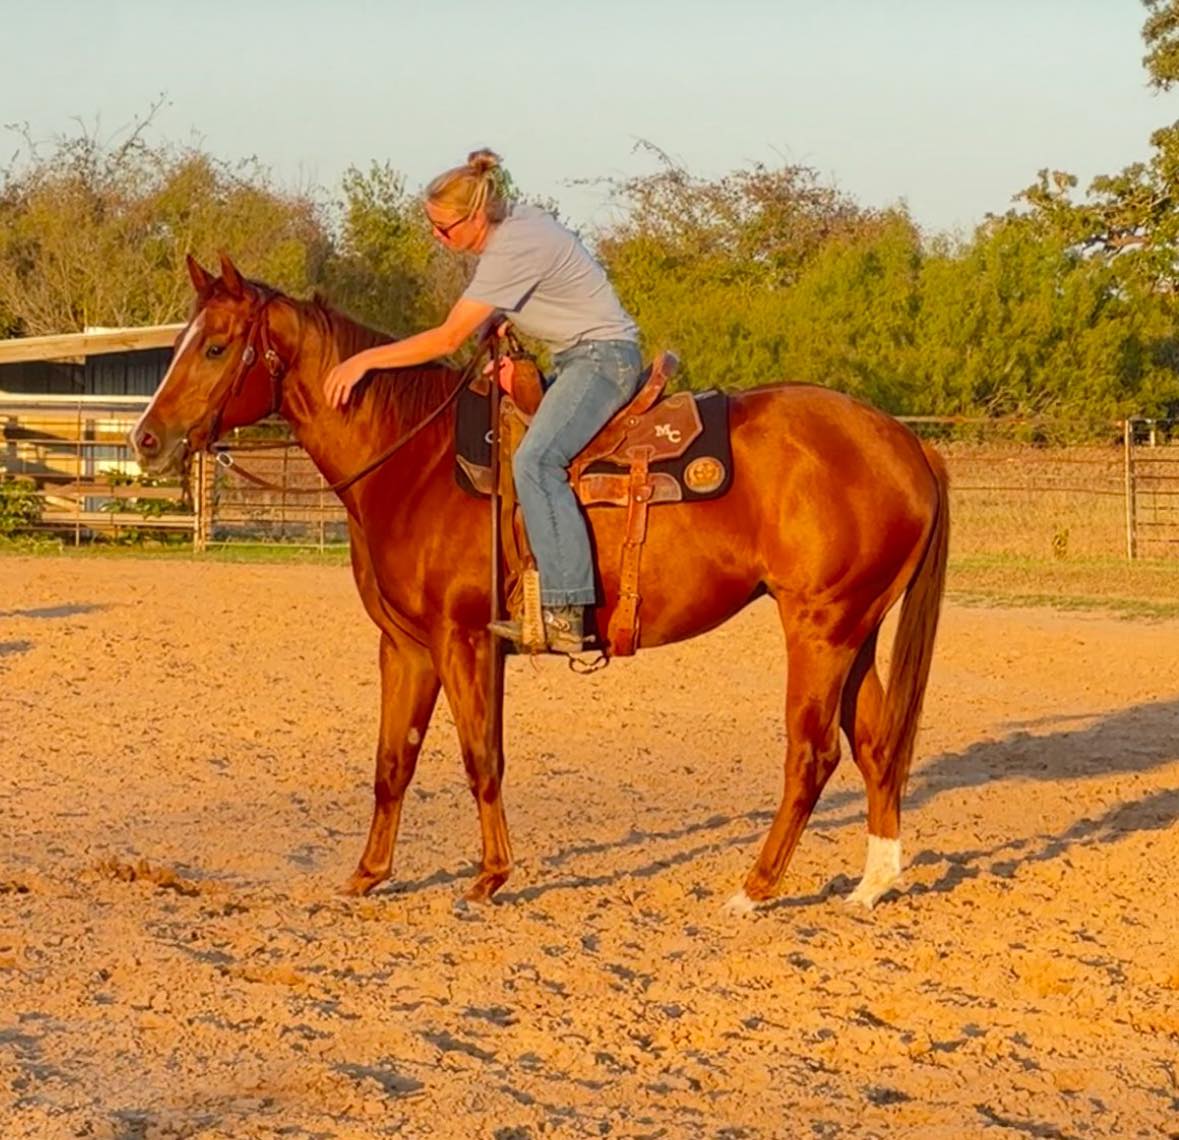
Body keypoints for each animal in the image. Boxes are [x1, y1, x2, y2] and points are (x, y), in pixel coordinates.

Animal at [130, 253, 950, 914]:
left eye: (215, 345)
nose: (147, 439)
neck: (417, 460)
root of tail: (906, 443)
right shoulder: (406, 647)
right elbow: (393, 762)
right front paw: (367, 875)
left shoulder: (462, 640)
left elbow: (479, 756)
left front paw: (490, 877)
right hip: (853, 632)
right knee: (877, 744)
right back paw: (871, 884)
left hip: (818, 627)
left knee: (810, 755)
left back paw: (753, 889)